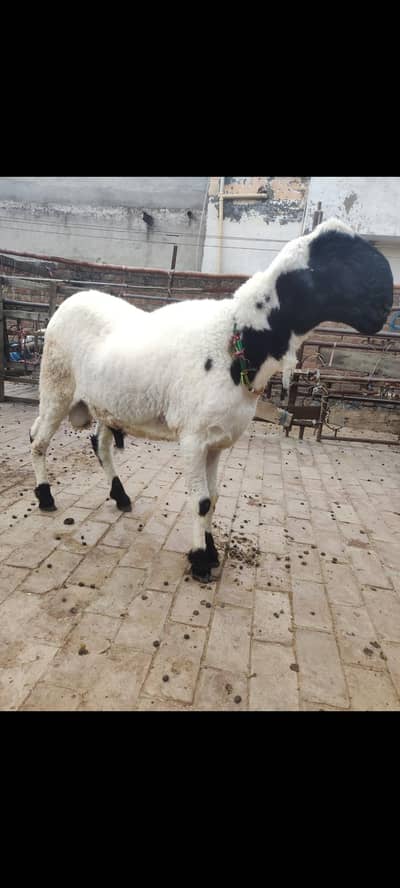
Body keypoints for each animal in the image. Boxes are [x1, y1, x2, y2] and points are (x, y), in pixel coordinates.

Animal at [30, 218, 393, 582]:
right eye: (337, 259)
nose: (384, 308)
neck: (237, 339)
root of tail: (71, 300)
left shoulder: (217, 441)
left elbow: (215, 497)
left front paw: (212, 551)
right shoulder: (193, 438)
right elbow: (201, 500)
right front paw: (200, 560)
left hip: (108, 404)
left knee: (99, 444)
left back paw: (120, 496)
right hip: (56, 385)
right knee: (38, 439)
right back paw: (45, 497)